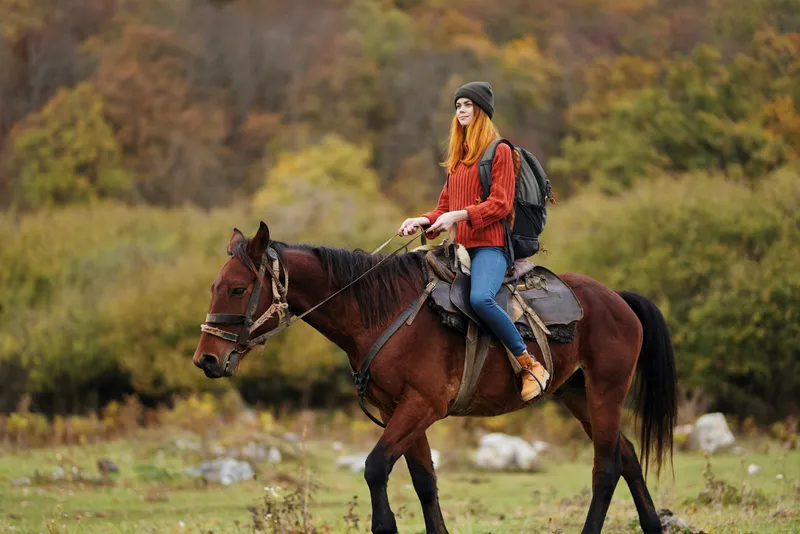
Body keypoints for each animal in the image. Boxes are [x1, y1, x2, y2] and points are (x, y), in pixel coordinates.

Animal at [192, 222, 677, 534]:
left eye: (237, 288)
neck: (382, 311)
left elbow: (375, 469)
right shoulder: (401, 410)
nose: (207, 360)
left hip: (605, 392)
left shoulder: (421, 405)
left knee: (606, 467)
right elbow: (425, 483)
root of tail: (618, 299)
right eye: (213, 287)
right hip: (577, 395)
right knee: (627, 455)